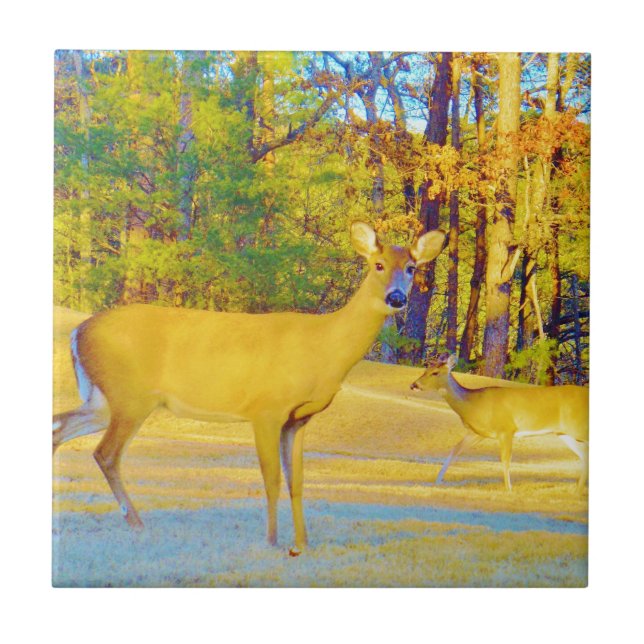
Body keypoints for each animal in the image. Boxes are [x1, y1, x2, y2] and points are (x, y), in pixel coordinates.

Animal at [53, 222, 446, 555]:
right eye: (378, 264)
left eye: (411, 268)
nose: (397, 298)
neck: (324, 350)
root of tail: (78, 331)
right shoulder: (266, 409)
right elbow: (272, 478)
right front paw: (272, 541)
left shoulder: (298, 419)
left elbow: (298, 481)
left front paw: (303, 543)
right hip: (130, 396)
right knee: (105, 453)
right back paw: (136, 523)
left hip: (103, 400)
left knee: (58, 427)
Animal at [409, 353, 589, 492]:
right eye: (425, 370)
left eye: (435, 373)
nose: (413, 385)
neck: (473, 405)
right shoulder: (478, 433)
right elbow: (454, 451)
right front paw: (437, 481)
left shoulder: (506, 429)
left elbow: (505, 459)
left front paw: (509, 489)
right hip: (563, 432)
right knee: (584, 455)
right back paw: (577, 490)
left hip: (578, 426)